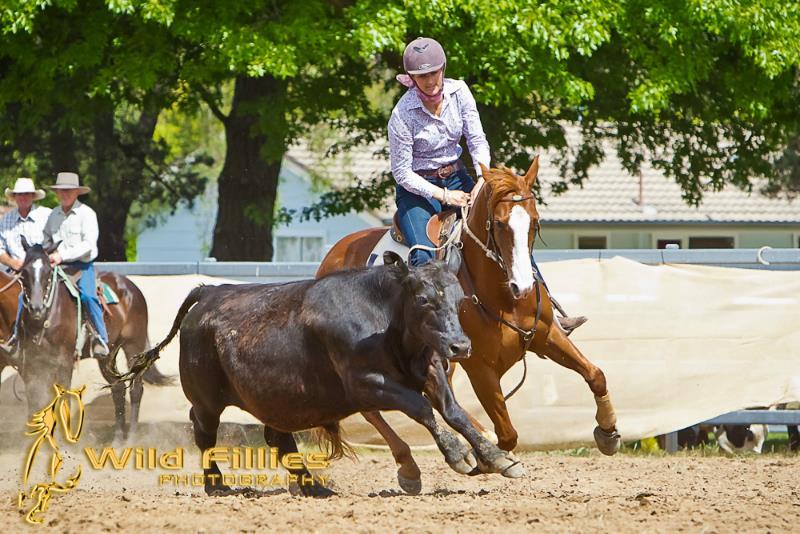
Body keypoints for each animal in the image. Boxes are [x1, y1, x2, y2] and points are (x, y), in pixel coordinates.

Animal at [15, 239, 171, 440]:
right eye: (24, 272)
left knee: (136, 389)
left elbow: (63, 399)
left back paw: (131, 437)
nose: (36, 308)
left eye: (48, 271)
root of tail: (131, 287)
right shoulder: (32, 364)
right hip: (107, 355)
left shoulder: (64, 362)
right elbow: (35, 402)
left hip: (133, 345)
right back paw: (118, 439)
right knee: (117, 388)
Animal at [317, 158, 621, 493]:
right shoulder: (479, 365)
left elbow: (595, 374)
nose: (523, 286)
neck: (502, 296)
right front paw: (490, 458)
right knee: (372, 407)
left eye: (535, 222)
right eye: (499, 223)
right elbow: (507, 433)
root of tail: (332, 256)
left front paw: (608, 432)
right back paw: (410, 466)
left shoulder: (547, 336)